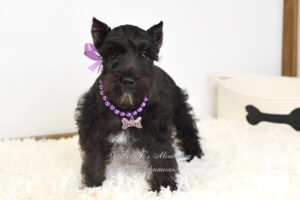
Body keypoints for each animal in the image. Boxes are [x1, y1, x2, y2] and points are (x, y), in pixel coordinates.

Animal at [75, 17, 204, 192]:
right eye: (113, 53)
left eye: (144, 54)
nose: (128, 80)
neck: (125, 107)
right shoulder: (93, 130)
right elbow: (94, 159)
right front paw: (93, 185)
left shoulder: (157, 132)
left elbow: (162, 158)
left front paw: (165, 187)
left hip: (180, 110)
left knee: (189, 130)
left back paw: (195, 155)